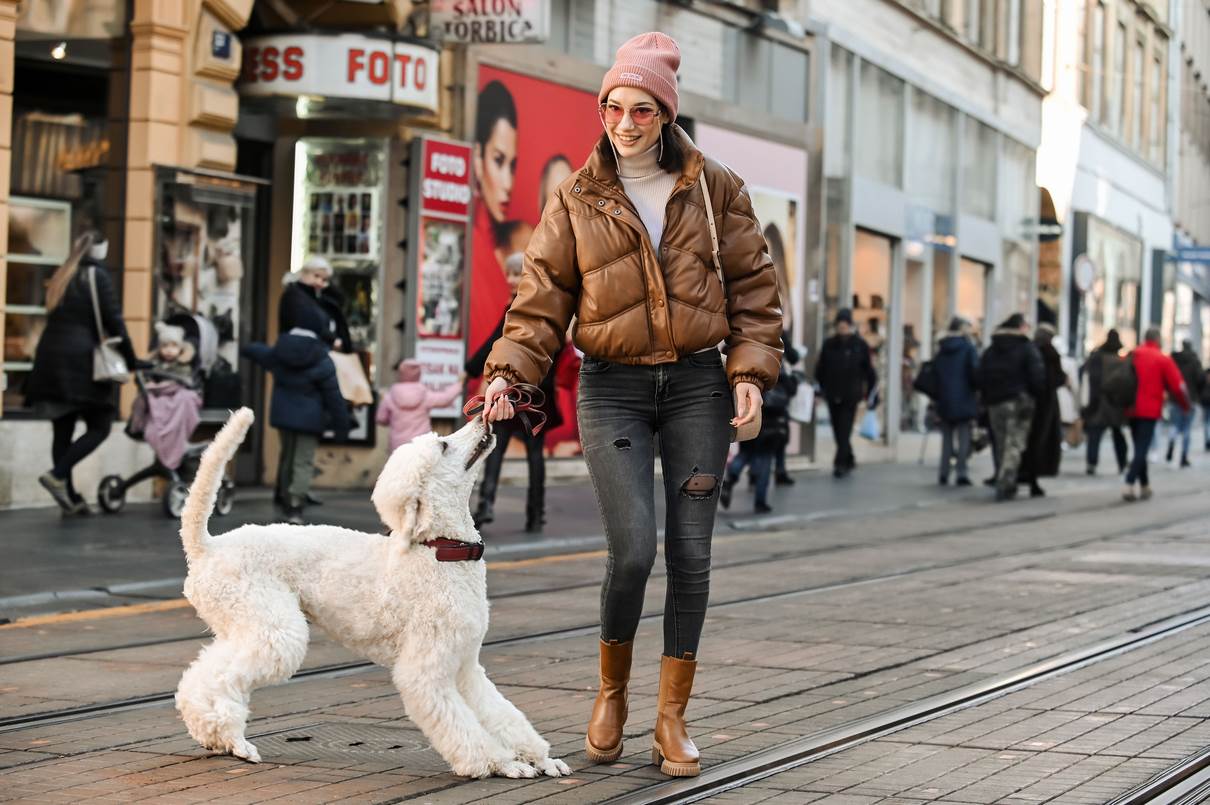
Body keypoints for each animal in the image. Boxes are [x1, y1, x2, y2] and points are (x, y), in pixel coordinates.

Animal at [171, 409, 571, 779]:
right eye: (443, 445)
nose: (483, 420)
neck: (439, 548)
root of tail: (206, 546)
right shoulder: (426, 669)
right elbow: (460, 725)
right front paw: (499, 763)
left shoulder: (464, 665)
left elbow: (500, 713)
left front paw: (538, 758)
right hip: (272, 626)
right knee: (222, 679)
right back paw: (232, 739)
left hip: (244, 624)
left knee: (198, 677)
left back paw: (213, 735)